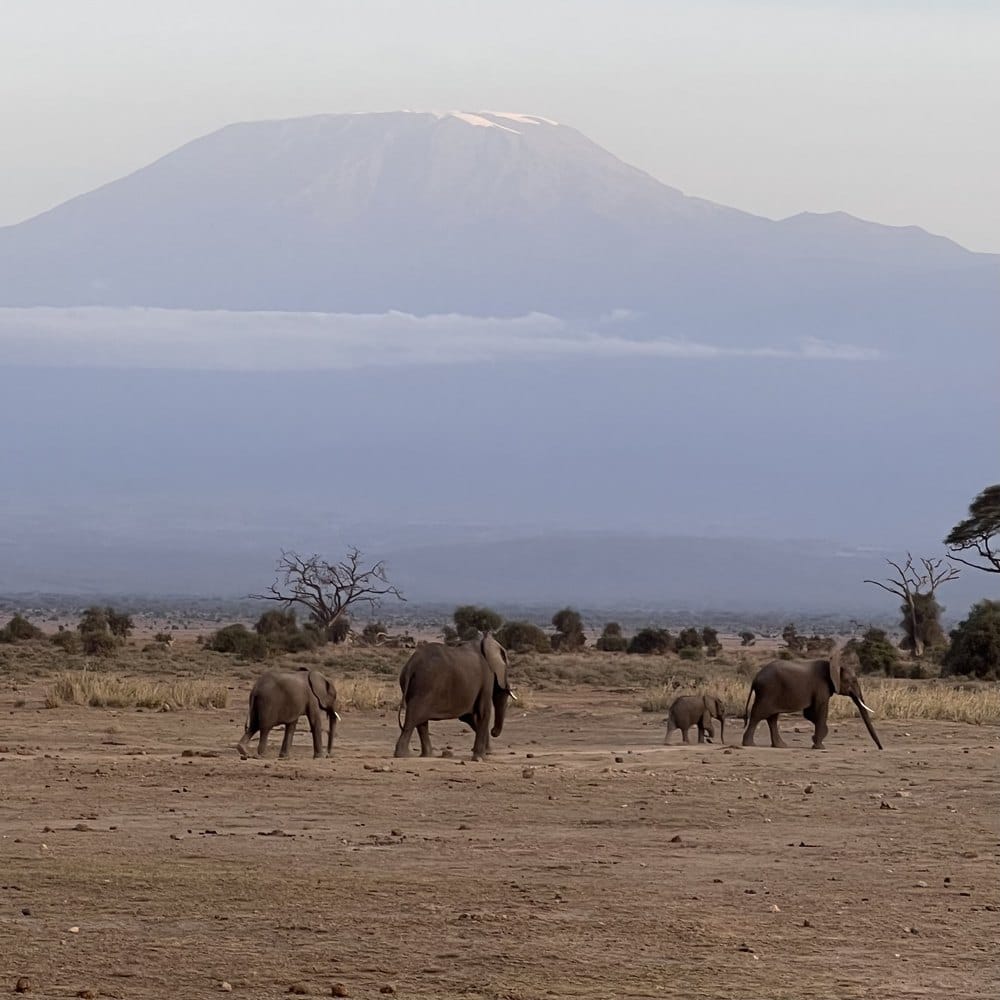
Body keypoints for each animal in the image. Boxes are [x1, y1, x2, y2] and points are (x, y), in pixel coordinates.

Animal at [394, 632, 516, 761]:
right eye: (507, 665)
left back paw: (426, 755)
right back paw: (403, 755)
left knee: (420, 720)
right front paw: (481, 758)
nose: (493, 732)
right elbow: (483, 712)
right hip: (425, 684)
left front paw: (487, 752)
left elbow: (468, 717)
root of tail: (411, 665)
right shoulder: (487, 676)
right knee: (414, 716)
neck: (485, 642)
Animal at [742, 658, 883, 750]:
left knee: (772, 718)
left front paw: (816, 739)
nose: (881, 748)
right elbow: (821, 710)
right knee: (758, 714)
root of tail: (755, 678)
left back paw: (781, 746)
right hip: (767, 691)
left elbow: (809, 714)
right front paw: (819, 746)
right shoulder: (821, 687)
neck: (832, 665)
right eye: (852, 681)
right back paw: (749, 744)